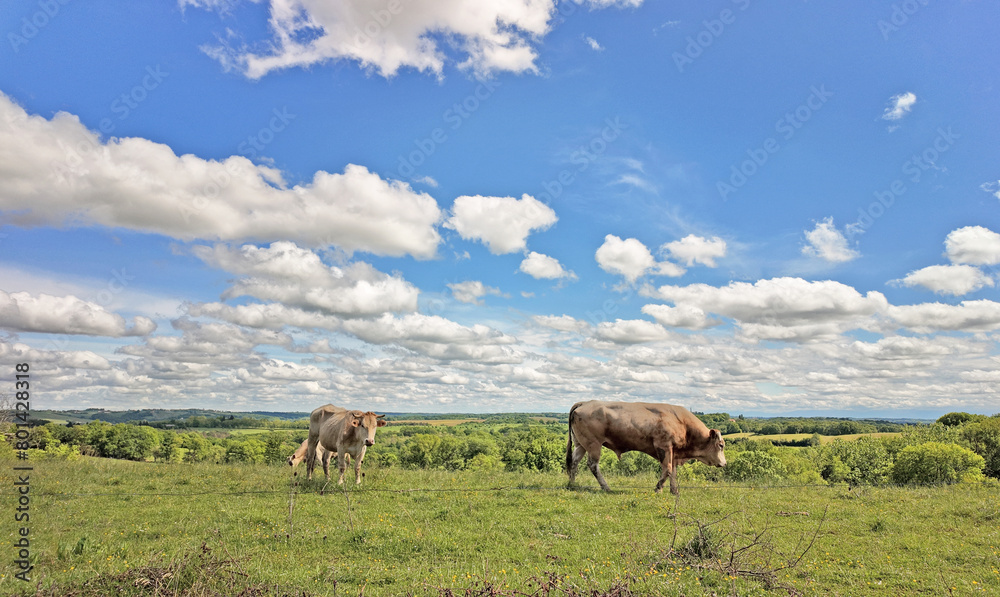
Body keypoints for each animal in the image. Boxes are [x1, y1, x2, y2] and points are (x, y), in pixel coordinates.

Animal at [566, 400, 726, 495]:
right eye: (721, 445)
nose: (724, 463)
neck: (682, 423)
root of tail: (585, 403)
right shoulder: (663, 446)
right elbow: (667, 469)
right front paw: (658, 488)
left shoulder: (673, 452)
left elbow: (673, 472)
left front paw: (674, 491)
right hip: (594, 445)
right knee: (593, 465)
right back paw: (606, 487)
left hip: (581, 445)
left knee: (574, 462)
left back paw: (572, 484)